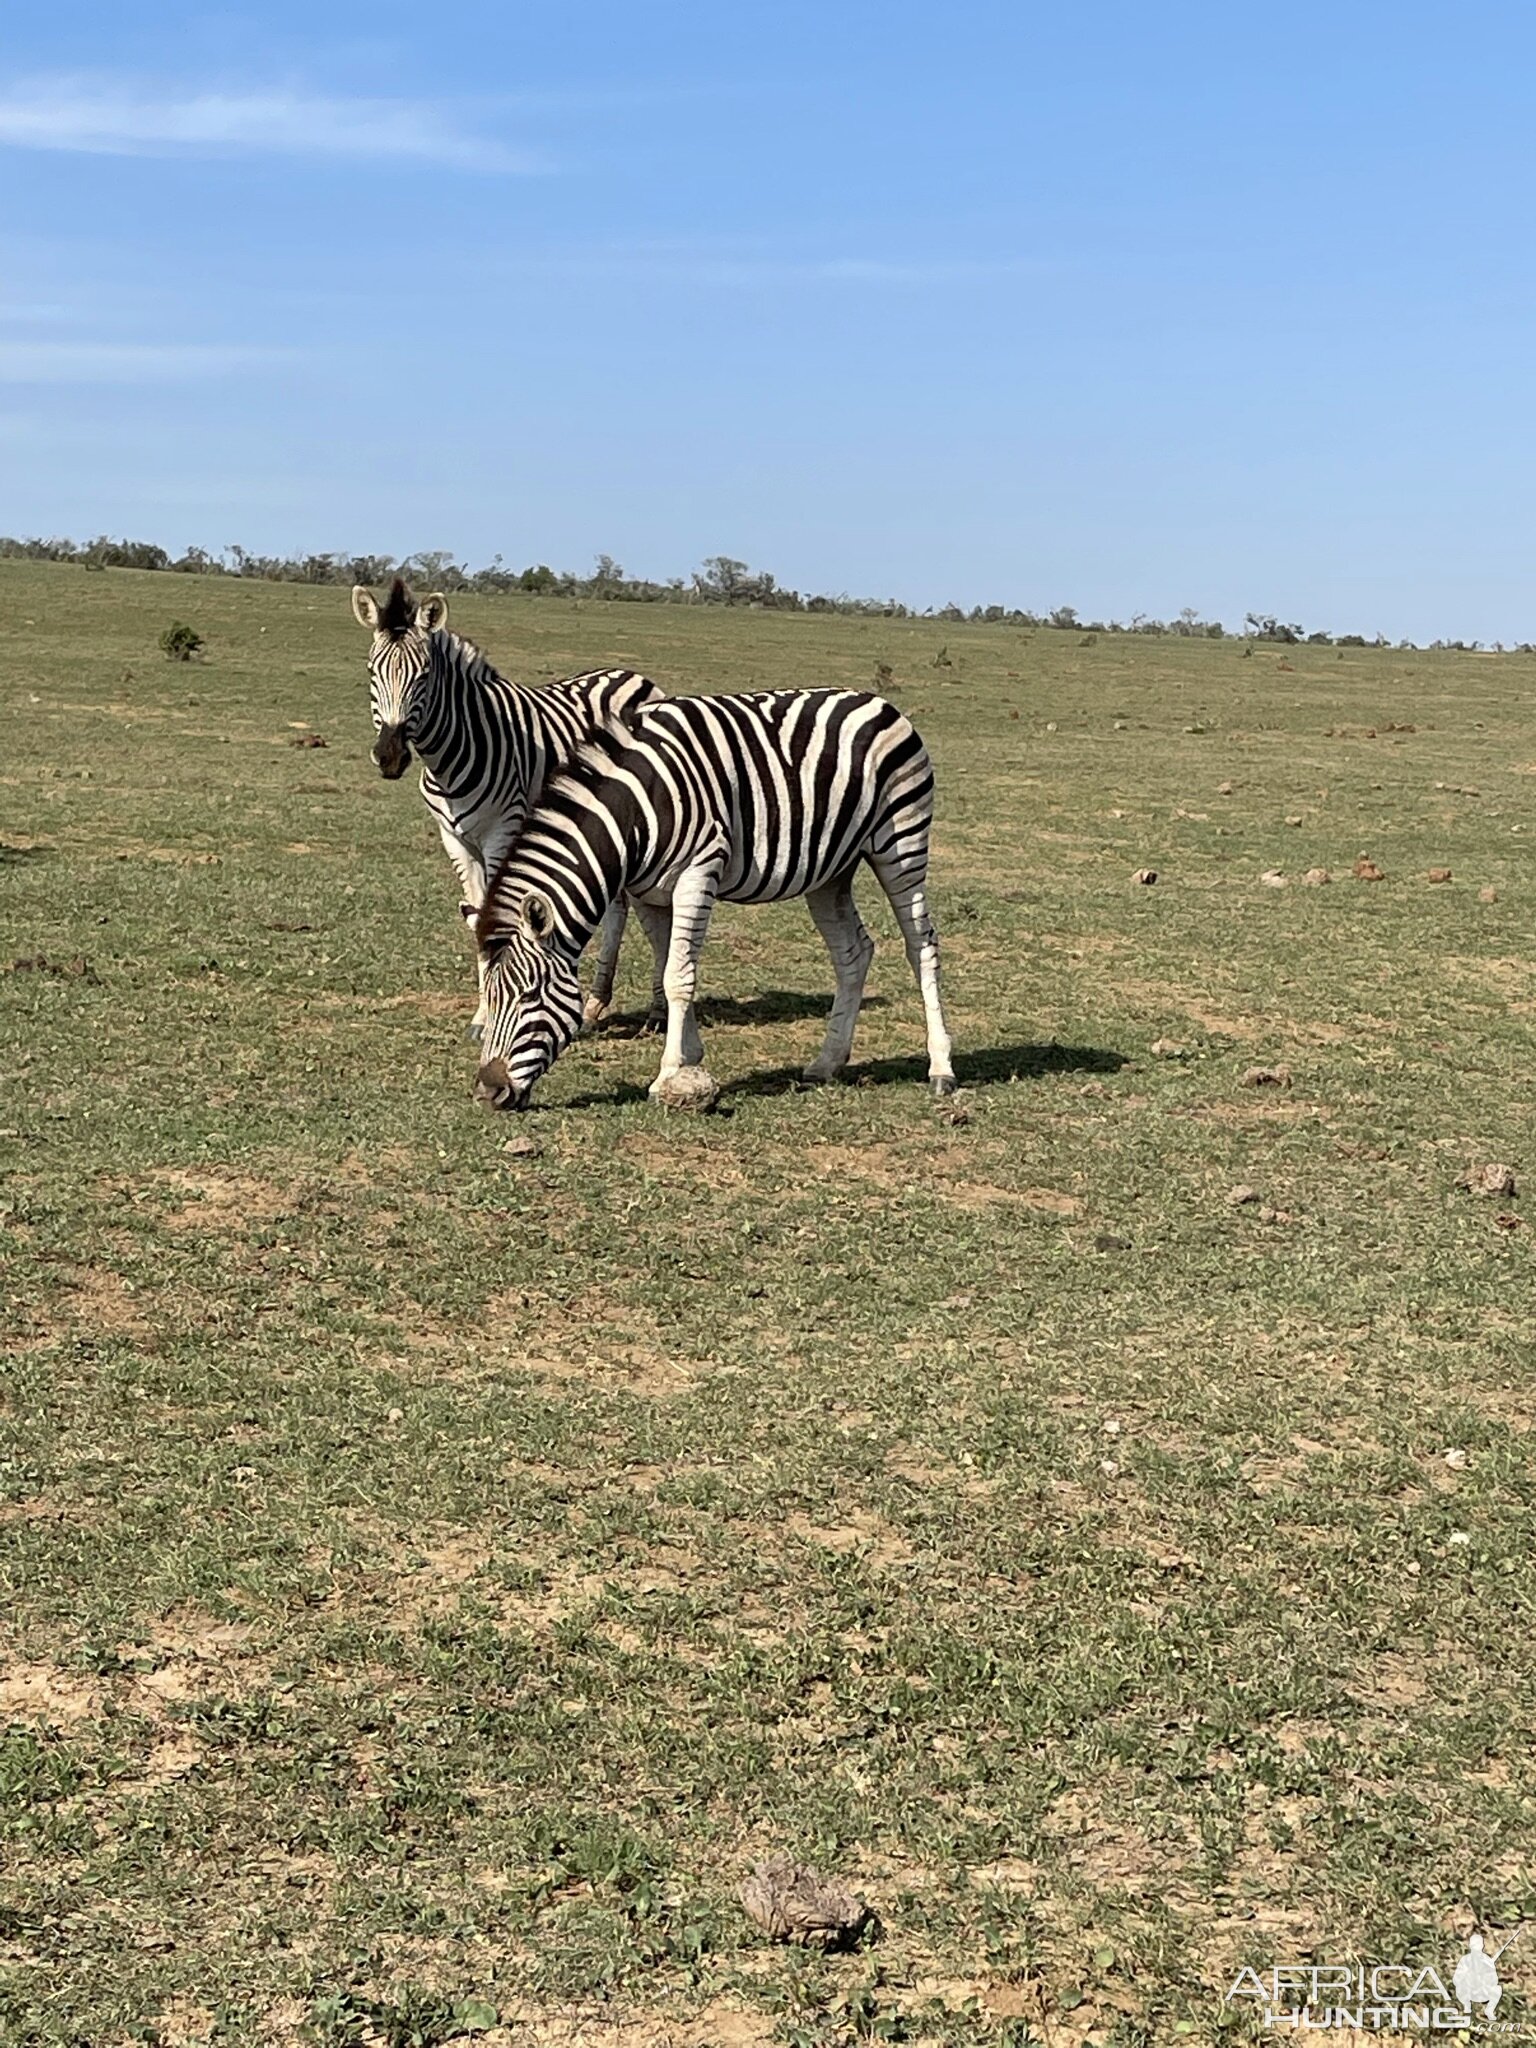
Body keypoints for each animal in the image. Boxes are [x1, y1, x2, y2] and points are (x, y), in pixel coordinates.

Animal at [354, 573, 667, 1024]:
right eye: (371, 671)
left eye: (424, 676)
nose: (390, 756)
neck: (452, 753)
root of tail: (632, 675)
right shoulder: (455, 839)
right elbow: (474, 914)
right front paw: (483, 1013)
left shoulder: (503, 830)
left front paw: (491, 1010)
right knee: (619, 905)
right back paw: (597, 999)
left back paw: (657, 1008)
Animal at [468, 688, 958, 1105]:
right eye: (489, 999)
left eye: (530, 996)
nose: (489, 1092)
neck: (632, 816)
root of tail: (878, 701)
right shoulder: (648, 891)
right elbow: (669, 964)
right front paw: (691, 1056)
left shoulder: (698, 871)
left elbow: (677, 976)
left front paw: (667, 1074)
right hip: (831, 871)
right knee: (853, 952)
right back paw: (827, 1062)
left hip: (901, 842)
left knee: (921, 946)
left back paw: (941, 1068)